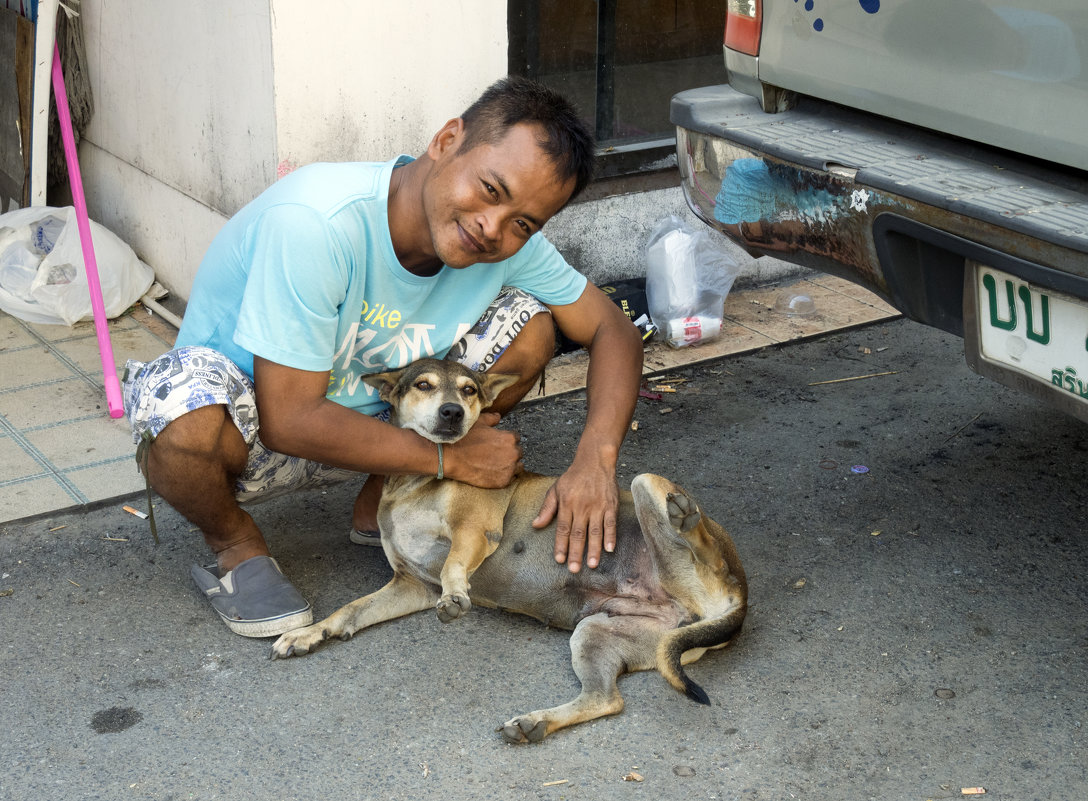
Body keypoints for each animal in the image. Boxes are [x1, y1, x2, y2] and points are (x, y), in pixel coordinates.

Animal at [272, 359, 748, 744]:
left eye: (468, 390)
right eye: (423, 385)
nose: (452, 412)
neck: (415, 482)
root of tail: (738, 602)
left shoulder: (474, 531)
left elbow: (454, 564)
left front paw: (456, 596)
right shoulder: (411, 585)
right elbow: (349, 610)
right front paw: (310, 633)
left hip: (647, 487)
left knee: (702, 548)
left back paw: (685, 517)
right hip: (598, 634)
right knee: (606, 699)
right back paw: (536, 722)